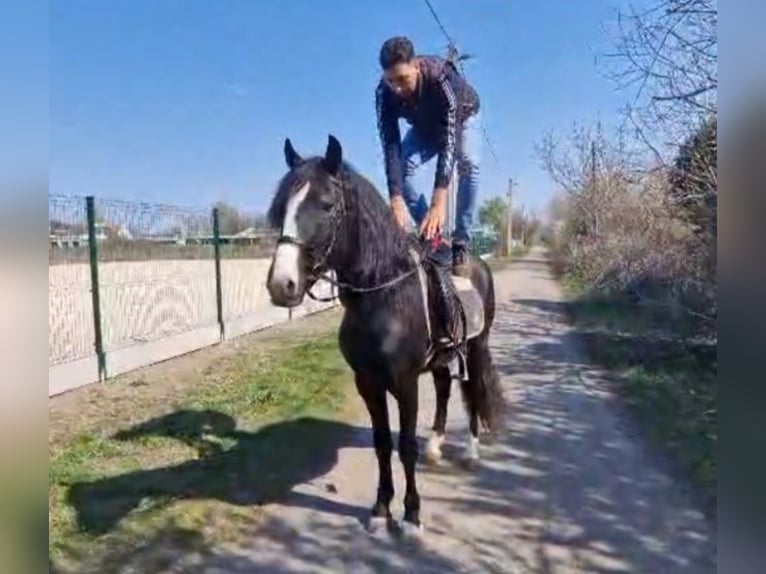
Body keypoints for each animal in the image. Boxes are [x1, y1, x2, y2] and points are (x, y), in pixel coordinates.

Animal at [265, 134, 506, 536]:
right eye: (282, 207)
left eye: (327, 206)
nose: (282, 285)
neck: (383, 295)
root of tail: (478, 264)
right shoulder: (368, 382)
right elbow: (381, 444)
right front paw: (380, 508)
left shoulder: (405, 383)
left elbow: (405, 445)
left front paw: (411, 515)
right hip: (441, 358)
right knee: (444, 388)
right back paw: (437, 446)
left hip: (475, 347)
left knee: (473, 392)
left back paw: (471, 452)